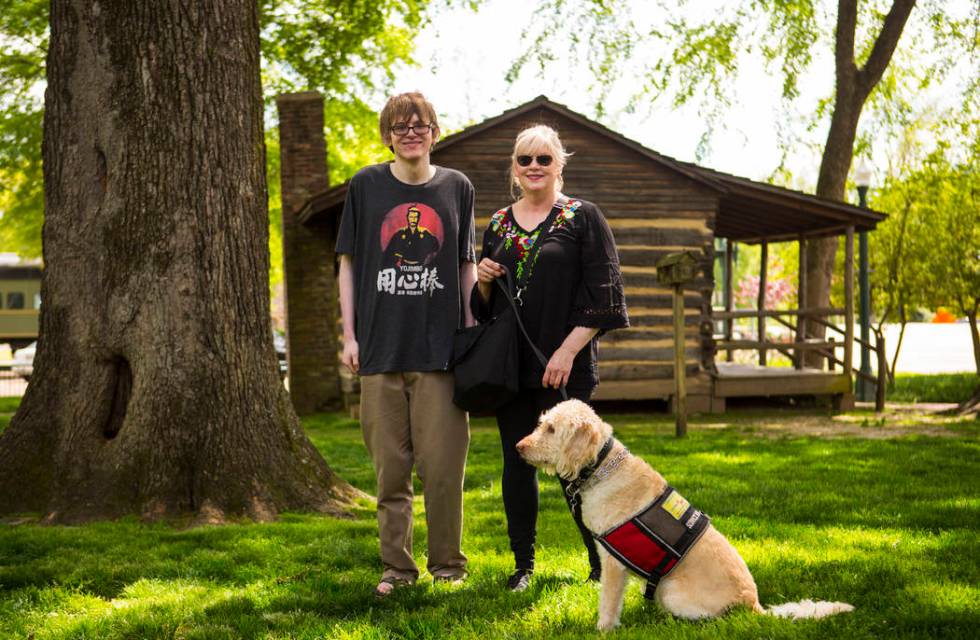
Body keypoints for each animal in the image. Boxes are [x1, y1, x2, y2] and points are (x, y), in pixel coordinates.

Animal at [516, 400, 852, 632]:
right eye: (542, 424)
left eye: (551, 429)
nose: (518, 447)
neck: (601, 465)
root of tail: (755, 605)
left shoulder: (612, 563)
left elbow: (608, 601)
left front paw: (603, 629)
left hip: (671, 591)